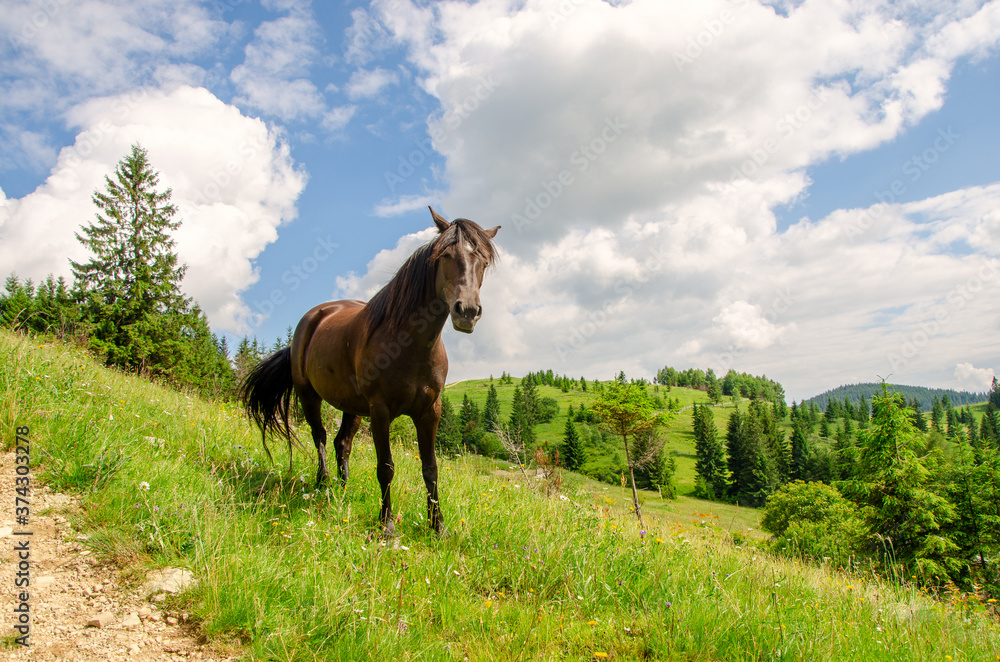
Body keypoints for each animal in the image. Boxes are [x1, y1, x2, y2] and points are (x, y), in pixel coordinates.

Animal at [239, 210, 504, 536]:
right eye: (446, 255)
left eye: (483, 261)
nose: (466, 312)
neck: (408, 345)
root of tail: (312, 318)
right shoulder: (380, 410)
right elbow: (386, 467)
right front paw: (387, 525)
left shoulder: (430, 412)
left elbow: (431, 468)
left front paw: (437, 526)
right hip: (308, 395)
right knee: (320, 436)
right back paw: (323, 484)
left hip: (352, 407)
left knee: (342, 443)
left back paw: (343, 489)